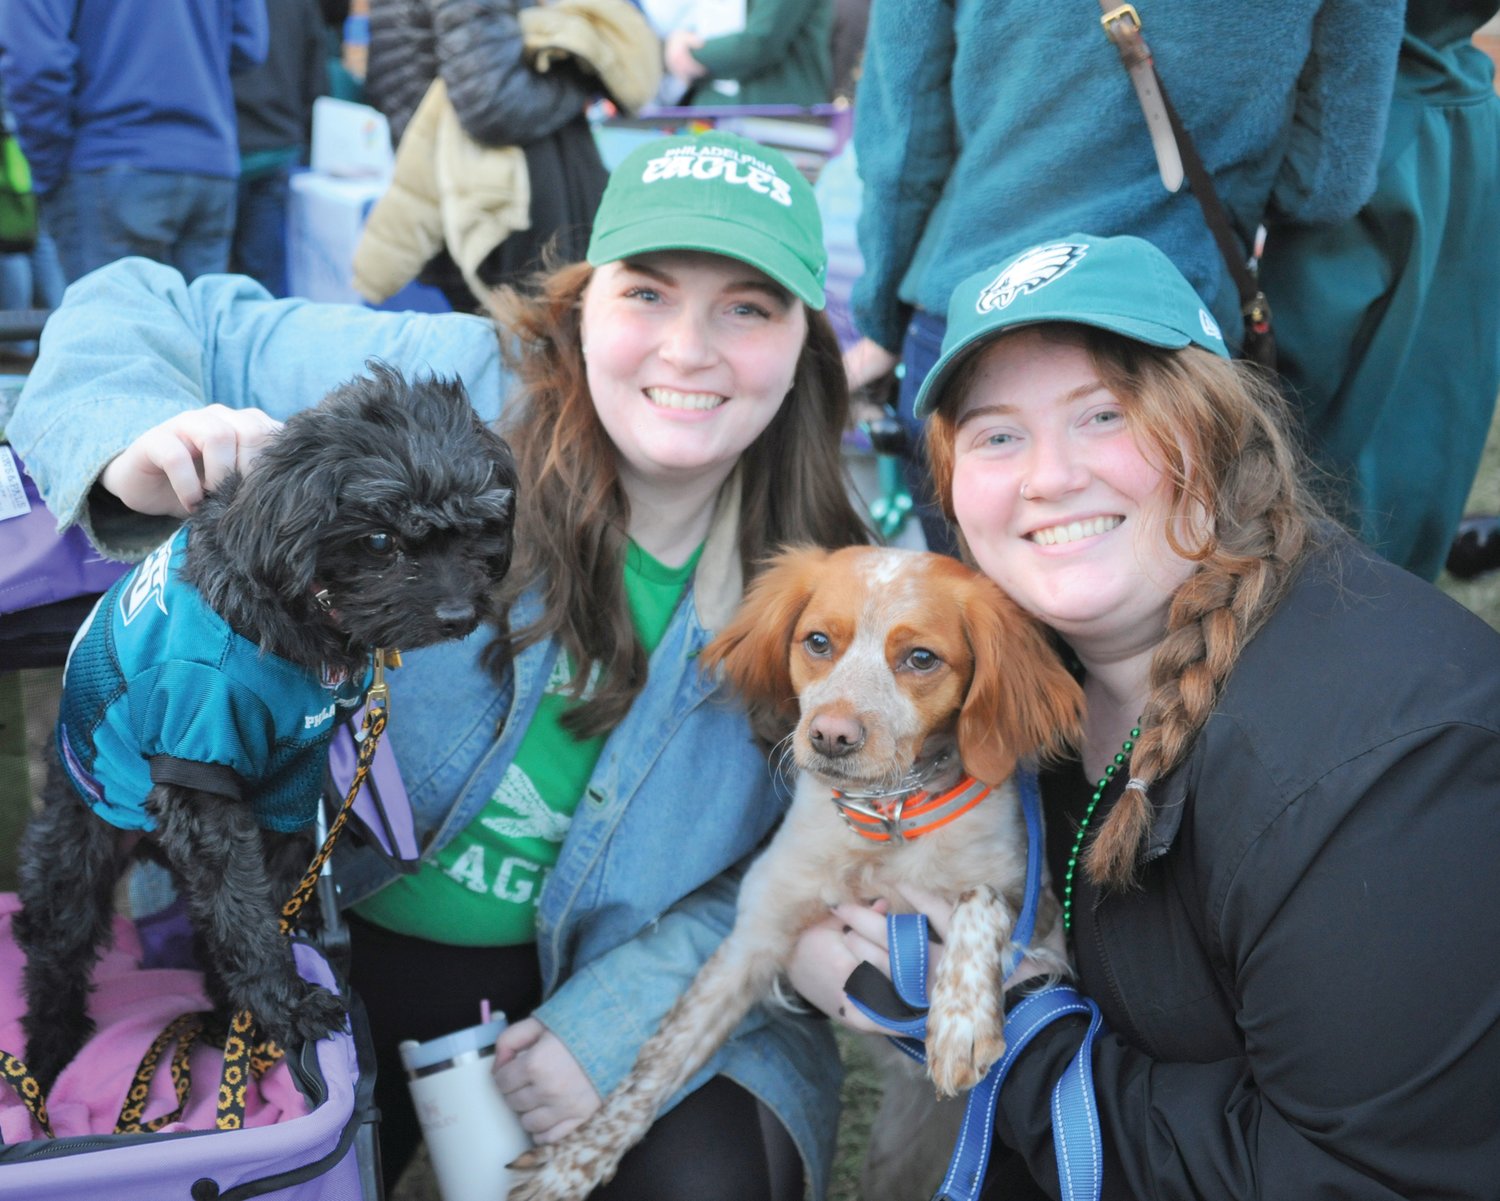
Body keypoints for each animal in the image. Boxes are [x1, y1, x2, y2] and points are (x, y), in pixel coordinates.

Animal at [14, 361, 519, 1079]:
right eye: (380, 539)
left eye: (476, 528)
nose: (457, 614)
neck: (299, 620)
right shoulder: (200, 764)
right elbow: (242, 909)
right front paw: (289, 1005)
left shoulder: (289, 789)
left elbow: (264, 901)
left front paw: (249, 1017)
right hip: (79, 842)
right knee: (58, 944)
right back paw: (47, 1059)